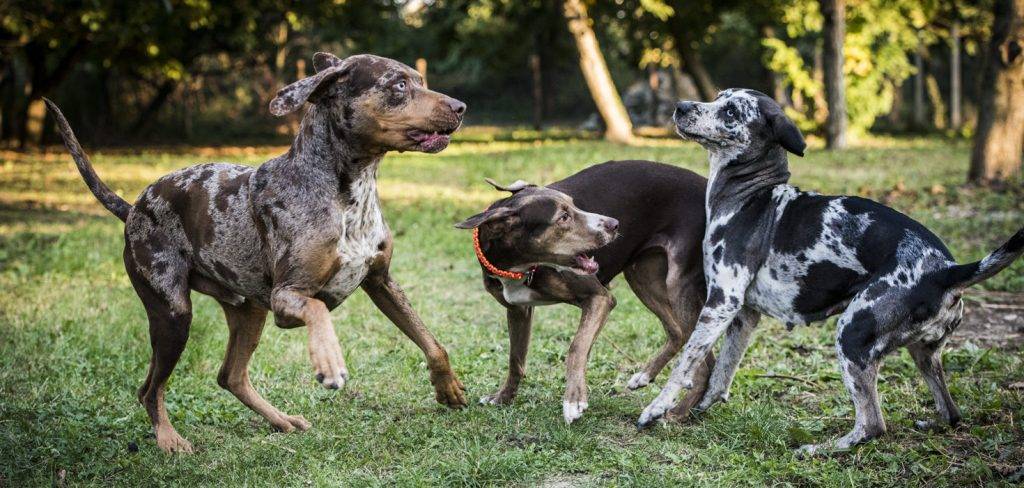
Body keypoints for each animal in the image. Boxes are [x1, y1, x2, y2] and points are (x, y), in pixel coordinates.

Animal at [45, 53, 468, 452]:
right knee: (151, 389)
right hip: (173, 315)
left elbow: (432, 342)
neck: (346, 193)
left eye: (420, 80)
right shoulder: (287, 297)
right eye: (398, 85)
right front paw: (328, 358)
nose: (460, 106)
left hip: (248, 311)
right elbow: (318, 310)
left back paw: (281, 420)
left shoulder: (381, 281)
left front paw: (447, 387)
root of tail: (133, 207)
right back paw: (169, 438)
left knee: (229, 376)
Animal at [460, 159, 716, 421]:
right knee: (678, 332)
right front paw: (503, 398)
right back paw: (646, 377)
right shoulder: (518, 310)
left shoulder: (600, 298)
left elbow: (577, 347)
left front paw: (574, 399)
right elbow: (516, 359)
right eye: (563, 217)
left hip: (678, 284)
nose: (615, 224)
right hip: (642, 277)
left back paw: (678, 413)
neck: (520, 267)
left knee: (704, 361)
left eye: (574, 205)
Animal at [634, 88, 1019, 456]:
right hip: (924, 354)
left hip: (852, 335)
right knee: (951, 413)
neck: (751, 196)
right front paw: (690, 412)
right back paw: (931, 423)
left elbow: (685, 364)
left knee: (872, 425)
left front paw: (657, 408)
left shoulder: (720, 304)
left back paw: (820, 448)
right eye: (716, 98)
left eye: (731, 111)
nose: (681, 106)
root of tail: (947, 271)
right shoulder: (743, 317)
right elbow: (719, 378)